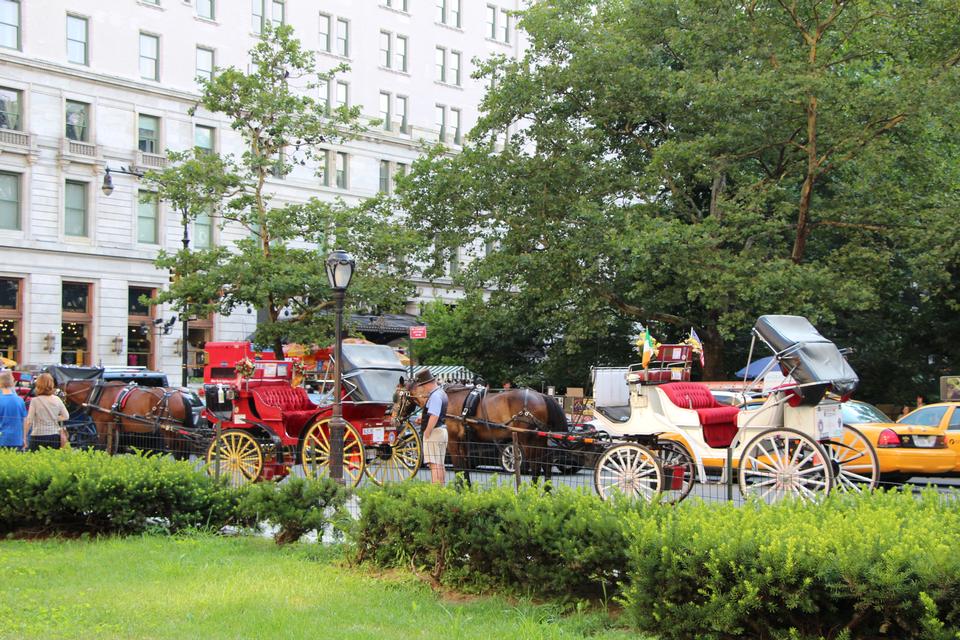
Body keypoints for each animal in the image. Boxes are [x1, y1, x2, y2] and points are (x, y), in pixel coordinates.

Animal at [60, 380, 197, 456]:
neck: (98, 393)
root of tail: (181, 397)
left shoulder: (101, 424)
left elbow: (102, 446)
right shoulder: (114, 426)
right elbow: (111, 449)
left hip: (169, 430)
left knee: (179, 452)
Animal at [396, 382, 572, 482]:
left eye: (397, 396)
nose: (395, 417)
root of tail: (542, 395)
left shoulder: (453, 441)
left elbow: (459, 467)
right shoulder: (464, 442)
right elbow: (465, 467)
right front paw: (467, 489)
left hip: (528, 440)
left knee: (536, 467)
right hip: (539, 439)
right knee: (546, 464)